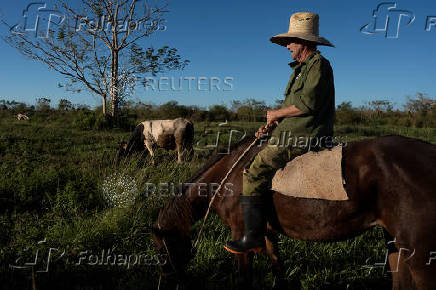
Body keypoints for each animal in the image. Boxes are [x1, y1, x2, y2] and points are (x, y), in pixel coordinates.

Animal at [151, 135, 436, 288]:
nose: (165, 284)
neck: (228, 175)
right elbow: (277, 266)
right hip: (396, 243)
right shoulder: (265, 233)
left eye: (160, 251)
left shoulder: (240, 235)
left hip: (420, 253)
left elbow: (244, 279)